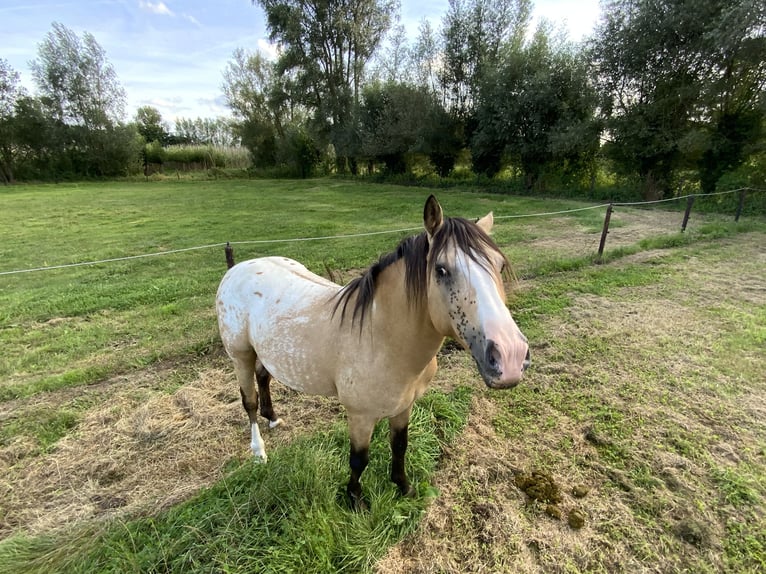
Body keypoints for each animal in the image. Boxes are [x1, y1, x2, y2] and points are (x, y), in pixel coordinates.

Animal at [216, 197, 528, 508]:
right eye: (441, 270)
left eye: (500, 265)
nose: (510, 357)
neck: (382, 338)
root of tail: (236, 268)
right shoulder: (360, 416)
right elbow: (359, 459)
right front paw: (355, 500)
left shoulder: (404, 405)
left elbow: (399, 446)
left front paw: (404, 488)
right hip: (240, 355)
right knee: (249, 402)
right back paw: (259, 452)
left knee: (264, 377)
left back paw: (272, 418)